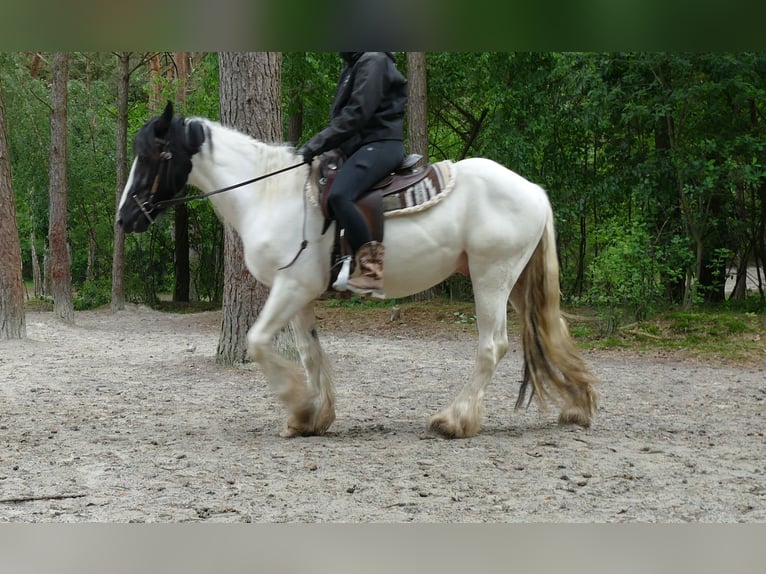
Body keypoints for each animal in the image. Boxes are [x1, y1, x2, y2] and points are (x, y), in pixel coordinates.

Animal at [117, 102, 599, 439]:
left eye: (157, 153)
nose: (125, 218)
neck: (270, 195)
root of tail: (532, 188)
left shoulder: (290, 288)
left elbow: (256, 343)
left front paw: (297, 403)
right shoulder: (298, 293)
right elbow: (310, 352)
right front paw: (312, 417)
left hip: (491, 278)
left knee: (491, 346)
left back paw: (454, 420)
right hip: (514, 282)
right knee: (551, 331)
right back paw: (577, 406)